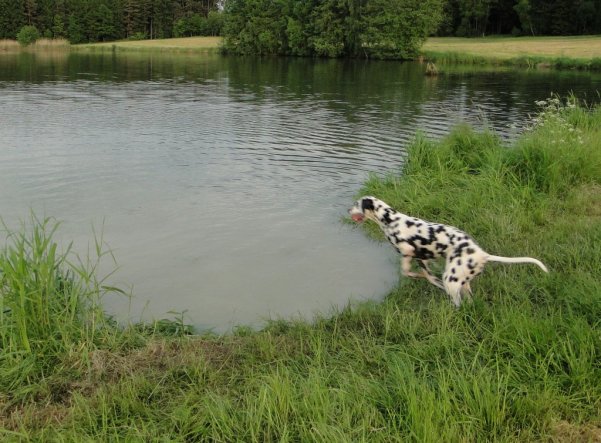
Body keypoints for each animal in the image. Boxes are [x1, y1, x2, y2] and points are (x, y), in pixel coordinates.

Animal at [346, 196, 548, 306]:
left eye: (356, 203)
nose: (347, 209)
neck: (391, 220)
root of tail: (482, 254)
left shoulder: (407, 252)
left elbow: (407, 272)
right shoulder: (422, 258)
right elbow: (426, 276)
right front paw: (426, 279)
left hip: (451, 281)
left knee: (457, 304)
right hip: (462, 283)